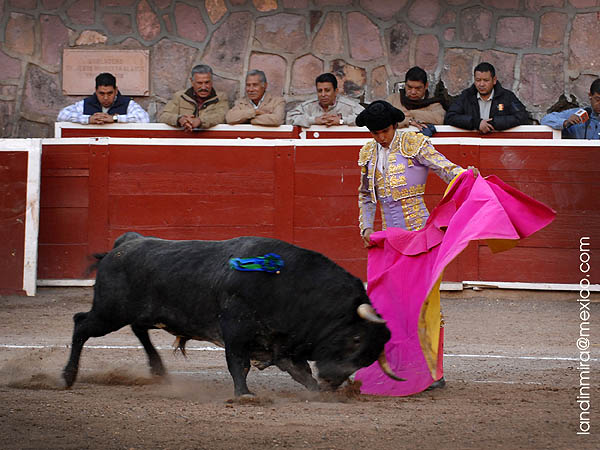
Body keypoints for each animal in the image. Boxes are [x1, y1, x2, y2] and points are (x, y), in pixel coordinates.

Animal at [62, 234, 404, 396]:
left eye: (368, 359)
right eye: (355, 338)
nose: (333, 380)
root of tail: (125, 243)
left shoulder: (282, 345)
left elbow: (302, 373)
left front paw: (319, 392)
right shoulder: (236, 331)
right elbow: (238, 365)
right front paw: (244, 394)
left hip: (138, 313)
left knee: (138, 329)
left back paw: (158, 370)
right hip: (109, 312)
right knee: (81, 324)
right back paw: (67, 376)